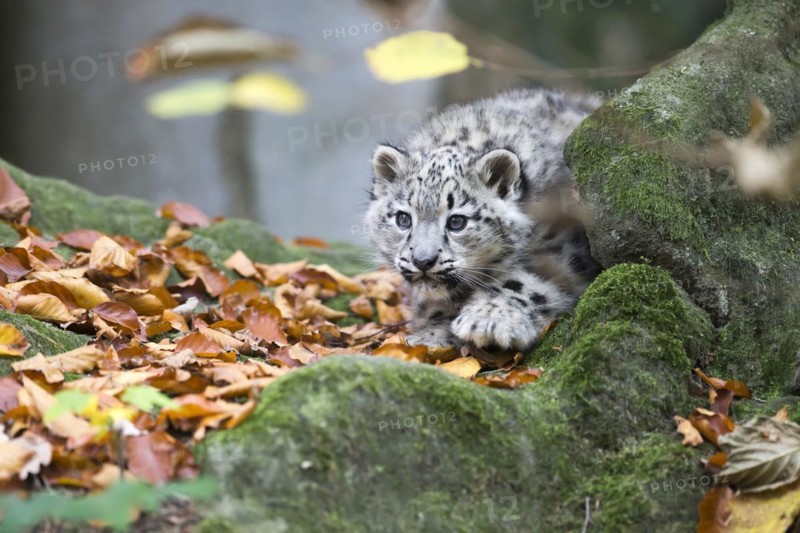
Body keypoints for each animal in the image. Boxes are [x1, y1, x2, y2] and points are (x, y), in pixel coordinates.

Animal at [364, 88, 603, 352]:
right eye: (403, 219)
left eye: (457, 222)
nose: (422, 261)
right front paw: (430, 334)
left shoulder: (565, 253)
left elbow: (525, 281)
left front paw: (488, 319)